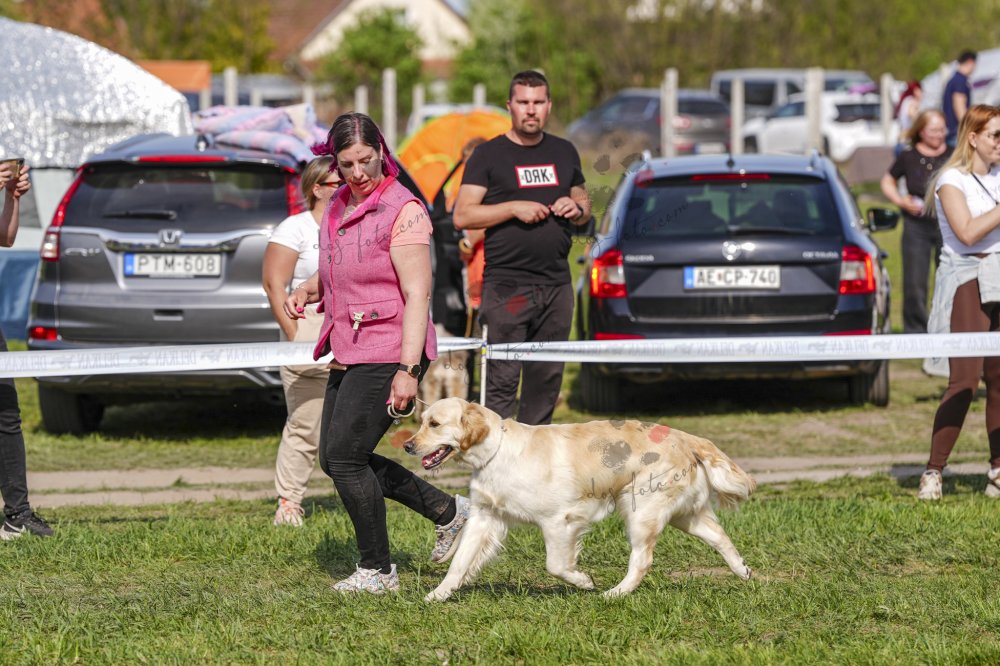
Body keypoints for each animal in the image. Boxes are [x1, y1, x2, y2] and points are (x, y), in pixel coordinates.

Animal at [405, 398, 755, 601]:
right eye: (421, 421)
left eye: (434, 424)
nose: (408, 445)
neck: (496, 451)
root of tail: (685, 437)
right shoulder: (485, 517)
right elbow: (460, 562)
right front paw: (437, 595)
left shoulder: (558, 521)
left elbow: (556, 565)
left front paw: (584, 581)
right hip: (685, 515)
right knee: (720, 537)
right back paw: (744, 572)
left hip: (640, 512)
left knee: (642, 559)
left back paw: (615, 593)